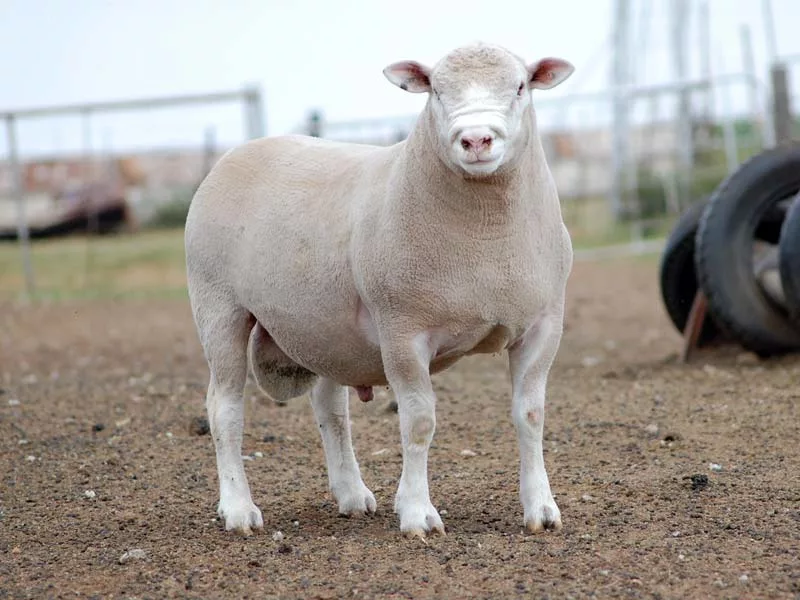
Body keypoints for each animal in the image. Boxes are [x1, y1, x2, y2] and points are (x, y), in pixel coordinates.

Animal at [184, 41, 575, 539]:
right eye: (436, 91)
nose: (475, 140)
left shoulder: (543, 325)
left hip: (325, 328)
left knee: (331, 410)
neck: (485, 237)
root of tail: (241, 152)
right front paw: (418, 514)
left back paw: (351, 495)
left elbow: (531, 415)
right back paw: (237, 509)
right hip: (218, 307)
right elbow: (419, 422)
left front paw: (541, 509)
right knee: (224, 408)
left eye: (521, 86)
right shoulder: (403, 330)